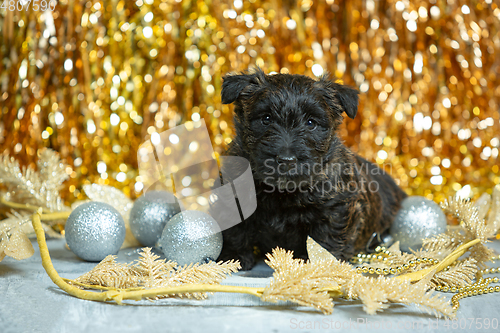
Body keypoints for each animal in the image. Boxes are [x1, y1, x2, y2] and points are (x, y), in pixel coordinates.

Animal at [218, 68, 406, 270]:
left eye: (311, 123)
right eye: (266, 119)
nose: (286, 160)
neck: (282, 192)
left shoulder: (334, 209)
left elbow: (325, 239)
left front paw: (322, 264)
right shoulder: (233, 197)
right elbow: (236, 230)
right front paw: (234, 257)